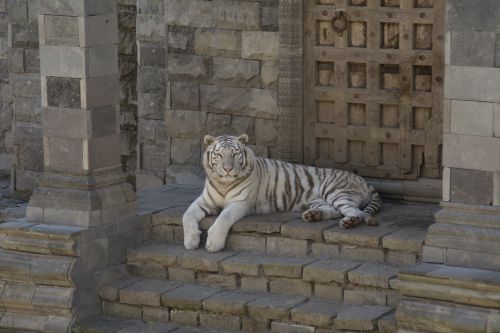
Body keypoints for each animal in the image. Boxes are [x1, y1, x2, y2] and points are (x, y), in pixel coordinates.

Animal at [182, 134, 380, 250]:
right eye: (220, 155)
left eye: (235, 154)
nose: (228, 169)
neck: (223, 182)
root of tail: (364, 180)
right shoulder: (205, 201)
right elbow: (187, 215)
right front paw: (191, 241)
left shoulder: (239, 203)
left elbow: (223, 218)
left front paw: (213, 244)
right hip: (319, 199)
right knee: (334, 210)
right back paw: (313, 216)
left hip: (335, 191)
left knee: (356, 212)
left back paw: (348, 222)